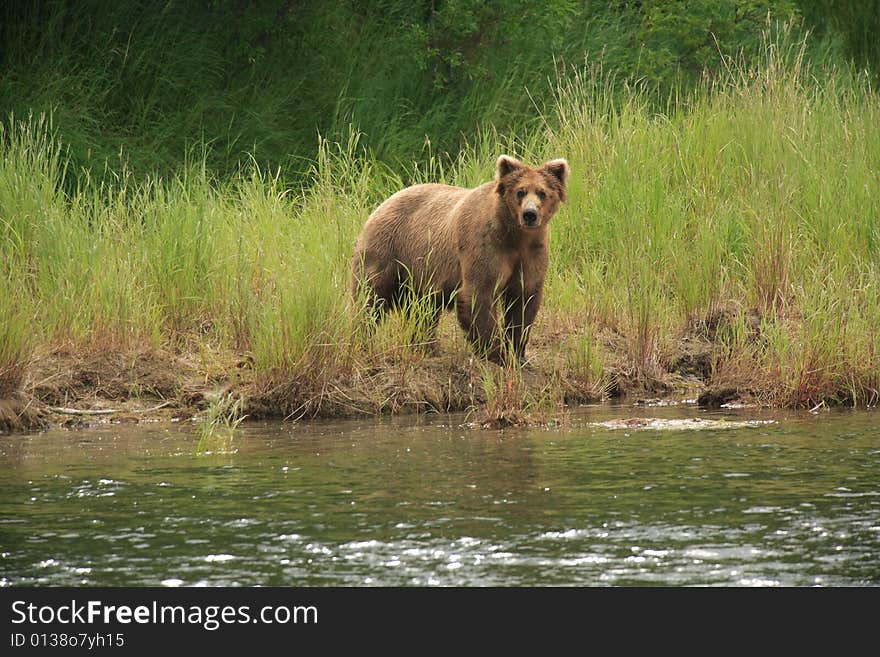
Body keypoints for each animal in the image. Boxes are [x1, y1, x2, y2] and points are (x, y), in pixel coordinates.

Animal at [350, 154, 572, 364]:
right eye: (520, 191)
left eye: (542, 192)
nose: (529, 214)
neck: (514, 235)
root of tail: (382, 203)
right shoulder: (485, 246)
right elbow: (478, 294)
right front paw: (496, 354)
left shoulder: (531, 253)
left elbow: (524, 299)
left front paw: (518, 354)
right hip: (388, 249)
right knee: (370, 297)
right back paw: (363, 339)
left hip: (420, 272)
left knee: (423, 310)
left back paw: (426, 347)